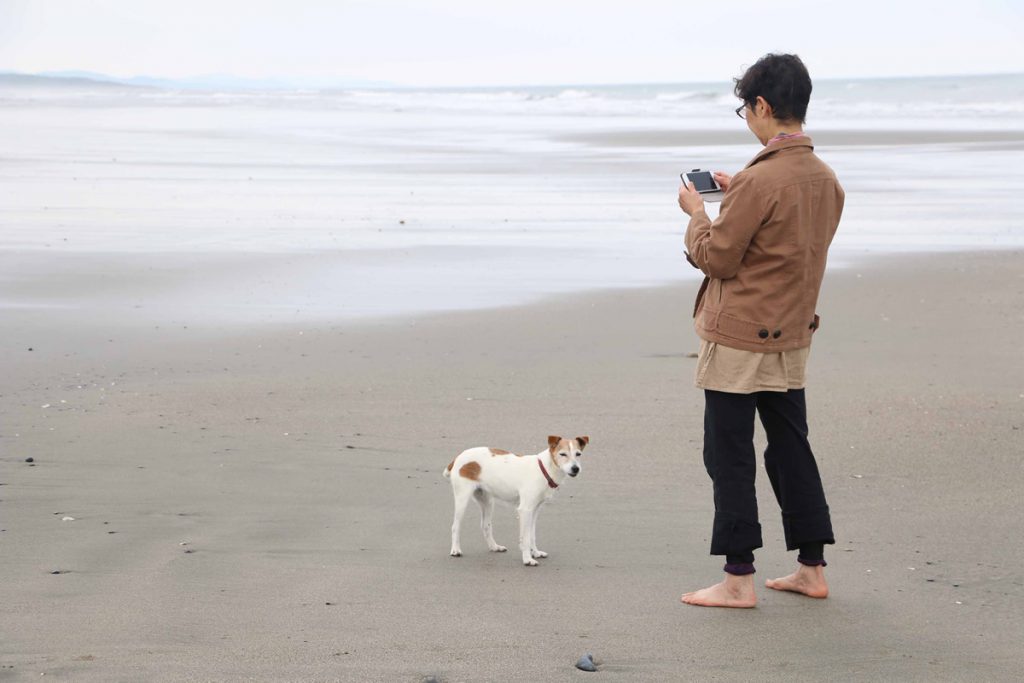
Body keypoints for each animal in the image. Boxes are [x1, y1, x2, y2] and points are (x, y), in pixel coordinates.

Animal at [444, 438, 589, 565]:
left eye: (578, 454)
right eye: (562, 454)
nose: (575, 468)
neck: (544, 469)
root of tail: (458, 457)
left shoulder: (534, 511)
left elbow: (531, 535)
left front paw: (535, 553)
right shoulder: (525, 510)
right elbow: (525, 538)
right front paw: (527, 559)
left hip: (488, 502)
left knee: (486, 525)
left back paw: (494, 546)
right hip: (462, 499)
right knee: (455, 526)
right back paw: (455, 550)